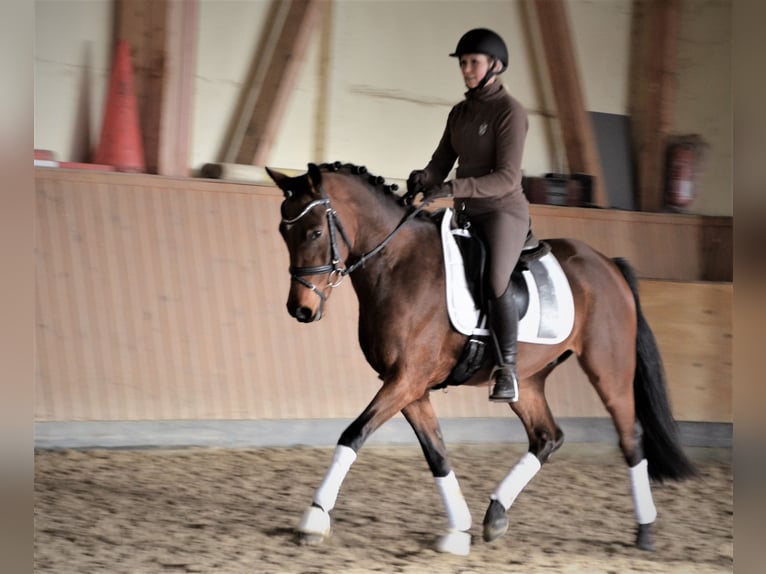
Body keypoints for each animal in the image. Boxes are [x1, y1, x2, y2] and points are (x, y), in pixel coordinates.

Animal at [268, 162, 700, 560]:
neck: (397, 265)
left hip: (608, 370)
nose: (300, 309)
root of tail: (608, 264)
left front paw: (314, 518)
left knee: (631, 437)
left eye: (315, 232)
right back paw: (495, 516)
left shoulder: (406, 380)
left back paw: (645, 530)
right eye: (283, 233)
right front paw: (458, 530)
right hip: (528, 380)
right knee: (547, 437)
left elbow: (353, 434)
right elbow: (437, 454)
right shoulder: (410, 387)